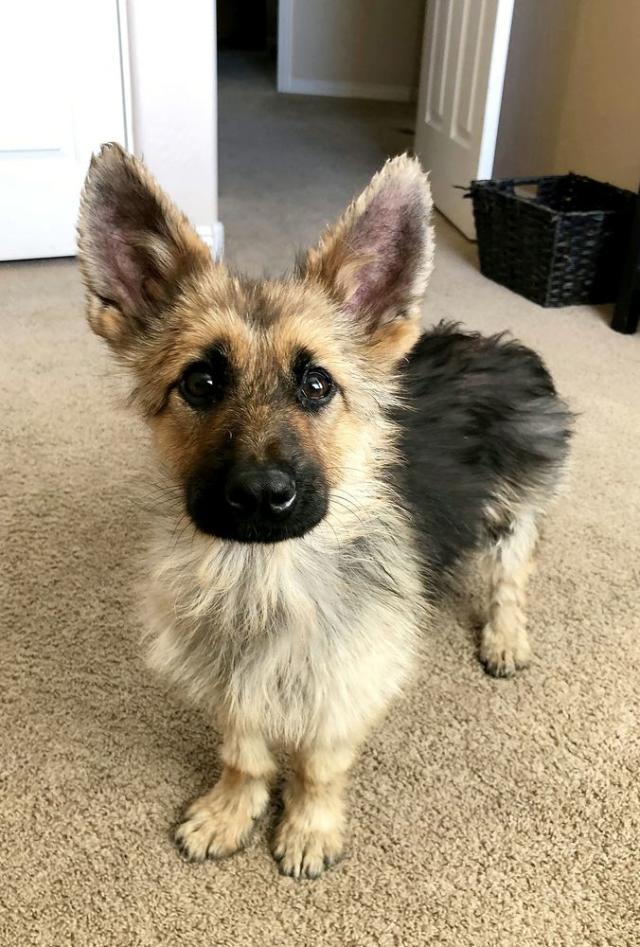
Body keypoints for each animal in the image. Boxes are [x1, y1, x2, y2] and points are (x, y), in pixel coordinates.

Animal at [77, 143, 572, 880]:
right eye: (201, 381)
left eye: (316, 384)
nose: (260, 493)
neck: (266, 572)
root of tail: (499, 344)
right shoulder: (233, 676)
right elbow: (244, 752)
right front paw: (233, 808)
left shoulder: (348, 682)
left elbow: (317, 764)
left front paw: (309, 824)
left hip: (515, 508)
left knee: (512, 575)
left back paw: (506, 636)